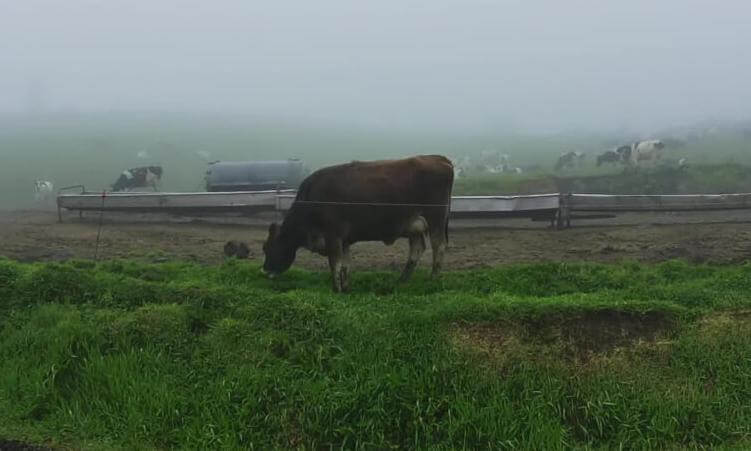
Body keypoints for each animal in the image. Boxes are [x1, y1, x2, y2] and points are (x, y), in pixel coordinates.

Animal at [262, 155, 454, 292]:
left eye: (267, 247)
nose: (264, 270)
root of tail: (439, 158)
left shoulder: (333, 236)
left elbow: (335, 264)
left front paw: (336, 289)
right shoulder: (344, 240)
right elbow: (345, 265)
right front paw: (345, 287)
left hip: (435, 219)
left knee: (438, 246)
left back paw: (433, 278)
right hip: (414, 226)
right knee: (417, 249)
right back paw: (402, 280)